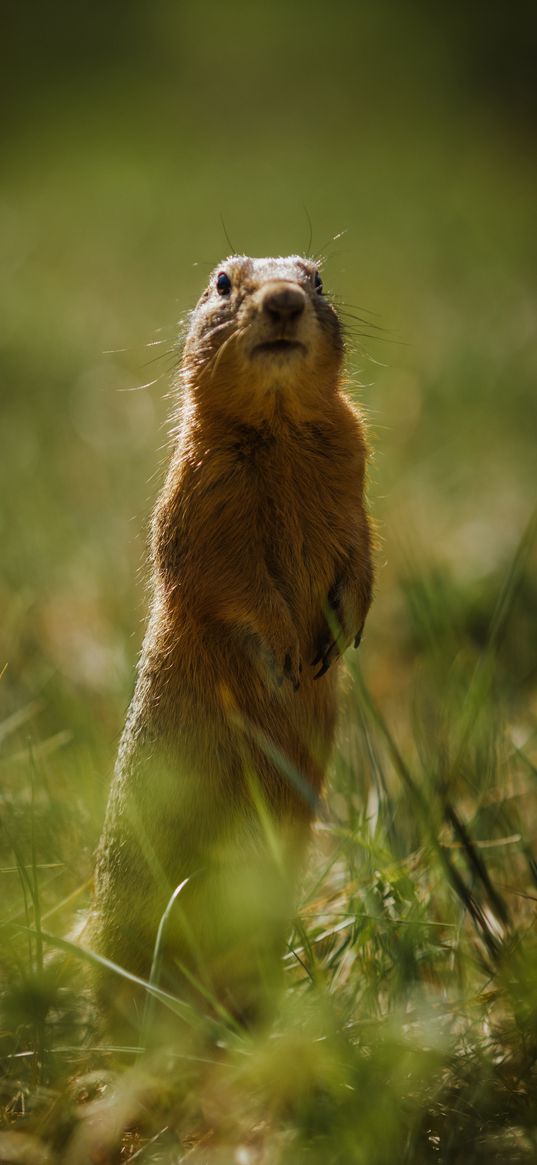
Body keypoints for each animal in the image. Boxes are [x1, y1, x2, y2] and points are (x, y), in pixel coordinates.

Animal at [89, 255, 372, 1029]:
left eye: (316, 278)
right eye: (222, 281)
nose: (282, 301)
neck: (278, 428)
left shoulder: (356, 472)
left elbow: (362, 552)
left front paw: (342, 631)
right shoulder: (202, 500)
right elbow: (230, 581)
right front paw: (284, 656)